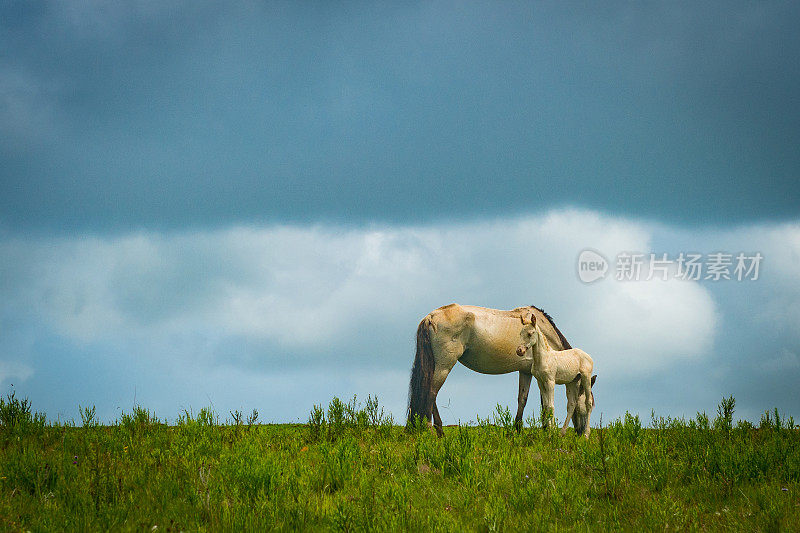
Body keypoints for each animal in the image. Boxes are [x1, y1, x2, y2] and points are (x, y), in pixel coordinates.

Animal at [406, 304, 588, 436]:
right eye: (586, 404)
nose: (581, 433)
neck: (542, 335)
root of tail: (430, 317)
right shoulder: (541, 376)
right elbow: (544, 403)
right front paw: (544, 430)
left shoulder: (526, 372)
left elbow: (522, 399)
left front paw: (517, 429)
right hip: (444, 365)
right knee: (431, 392)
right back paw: (435, 429)